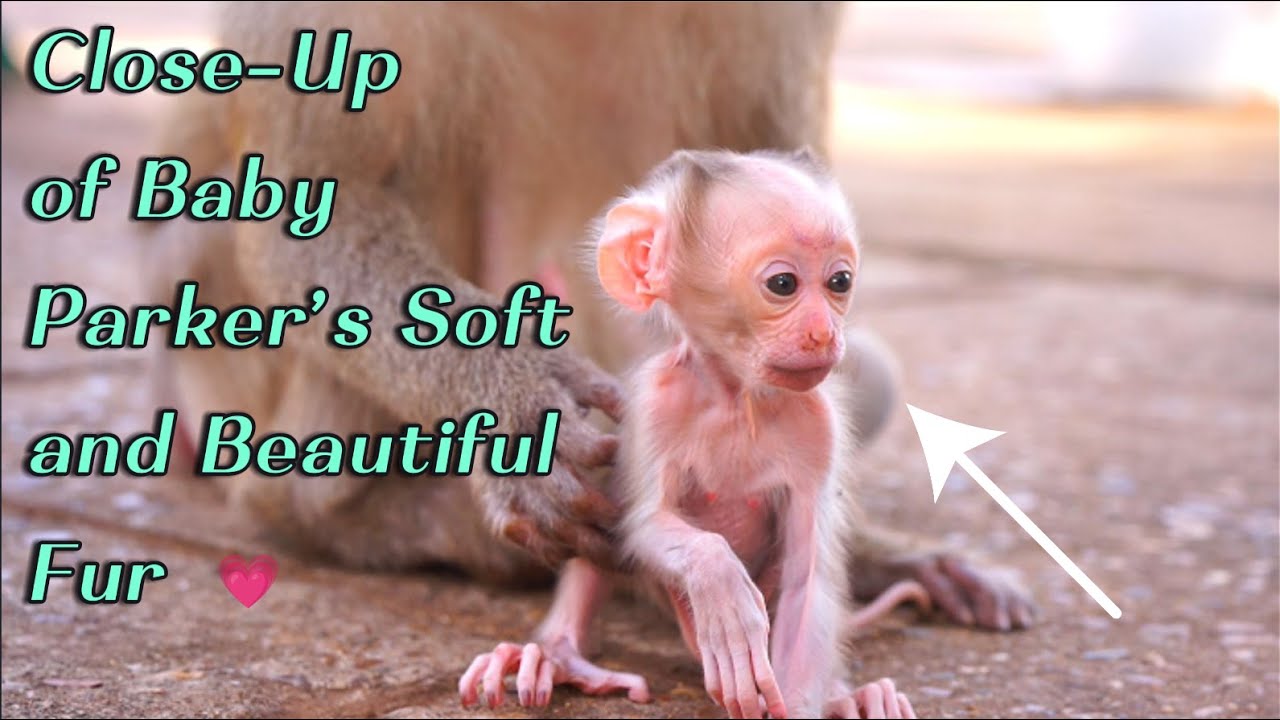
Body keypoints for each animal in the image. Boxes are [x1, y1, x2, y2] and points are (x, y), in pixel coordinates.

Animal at [460, 149, 931, 719]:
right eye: (783, 285)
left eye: (839, 282)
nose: (824, 333)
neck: (737, 398)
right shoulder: (653, 404)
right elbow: (642, 525)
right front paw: (721, 590)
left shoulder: (820, 423)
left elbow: (807, 574)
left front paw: (800, 703)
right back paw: (553, 656)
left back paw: (848, 696)